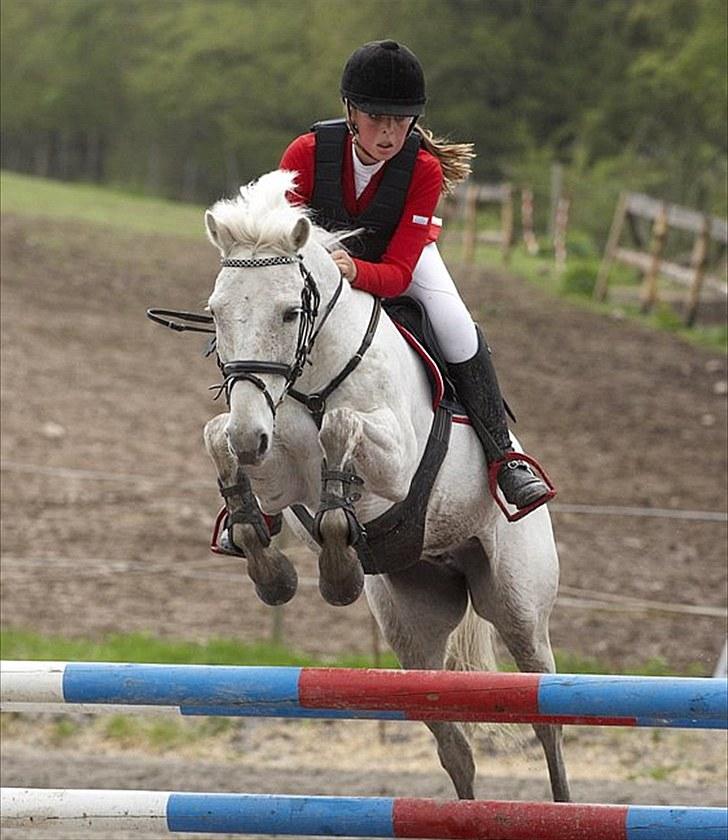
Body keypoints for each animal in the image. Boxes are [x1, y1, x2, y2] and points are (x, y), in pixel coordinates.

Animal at [200, 170, 570, 802]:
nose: (253, 436)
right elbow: (217, 438)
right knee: (454, 746)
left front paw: (337, 569)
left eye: (289, 313)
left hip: (519, 608)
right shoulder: (275, 468)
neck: (312, 377)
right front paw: (270, 563)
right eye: (217, 312)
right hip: (411, 628)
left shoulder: (395, 466)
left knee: (545, 722)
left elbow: (340, 429)